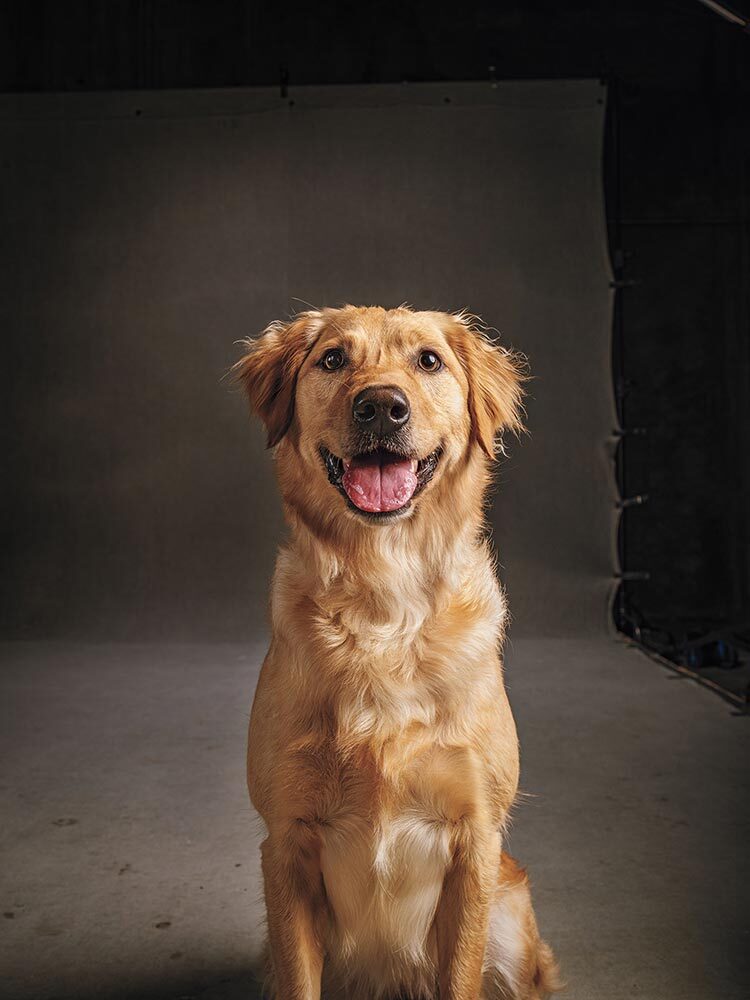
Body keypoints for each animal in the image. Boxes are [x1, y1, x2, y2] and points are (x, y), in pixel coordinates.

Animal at [235, 306, 560, 1000]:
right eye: (332, 359)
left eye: (428, 361)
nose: (382, 406)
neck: (385, 605)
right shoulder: (286, 842)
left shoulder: (474, 839)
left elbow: (460, 973)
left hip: (510, 927)